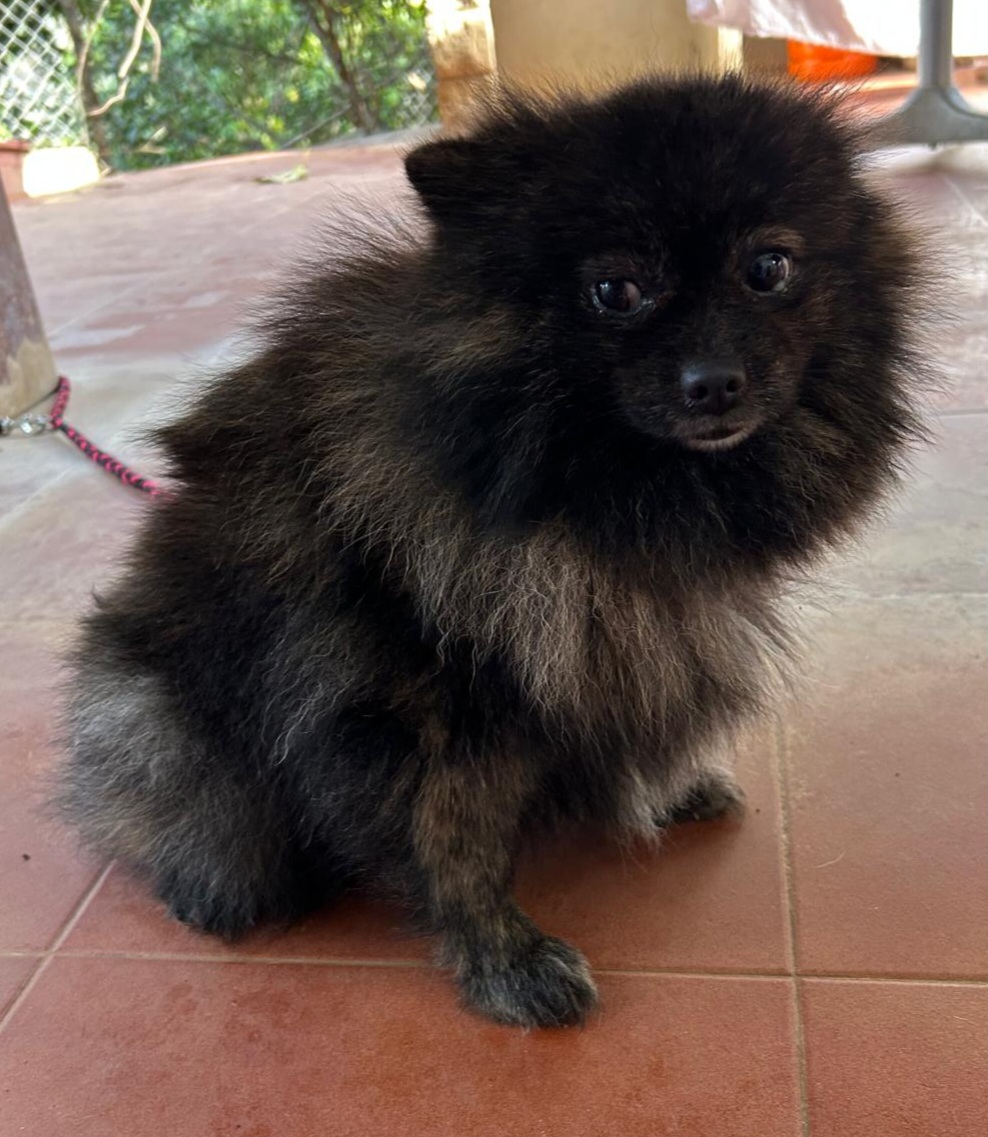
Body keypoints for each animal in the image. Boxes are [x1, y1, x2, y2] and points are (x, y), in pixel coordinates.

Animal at [59, 75, 923, 1028]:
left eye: (770, 268)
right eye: (614, 289)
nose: (714, 382)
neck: (573, 478)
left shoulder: (623, 626)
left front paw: (662, 787)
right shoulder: (419, 694)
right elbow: (452, 836)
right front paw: (501, 954)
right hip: (156, 720)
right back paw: (200, 877)